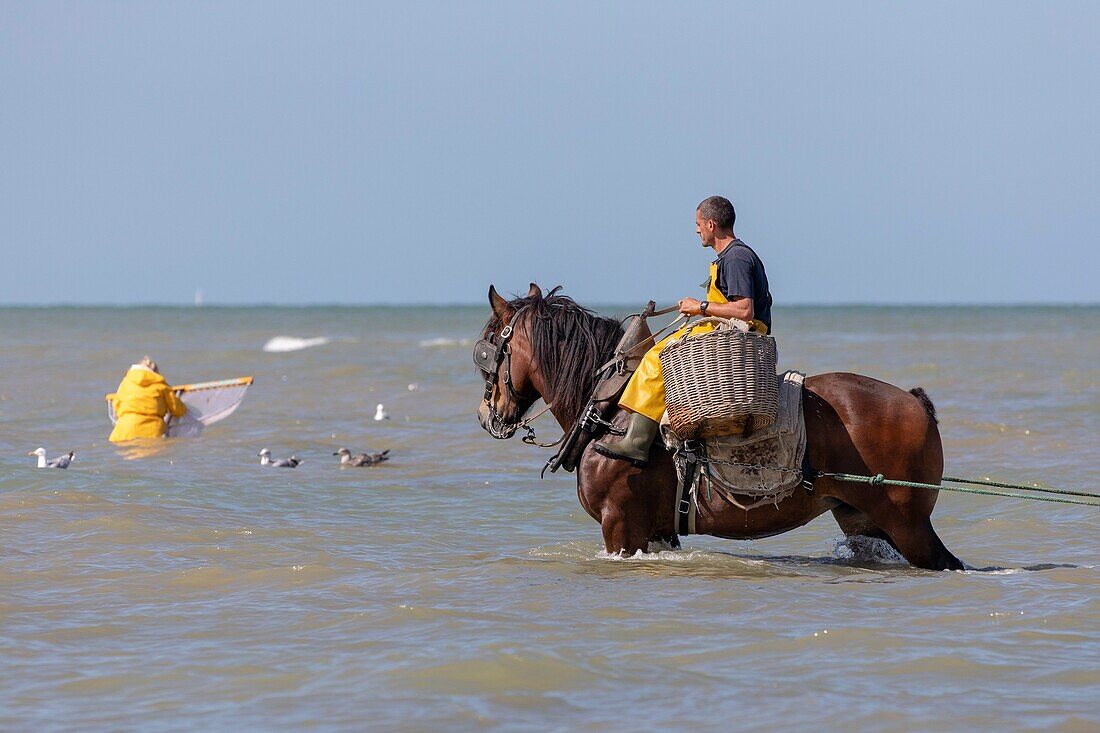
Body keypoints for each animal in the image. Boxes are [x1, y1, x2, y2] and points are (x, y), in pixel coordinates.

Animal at [473, 281, 963, 567]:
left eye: (488, 349)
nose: (485, 415)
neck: (608, 409)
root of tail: (914, 402)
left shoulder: (620, 528)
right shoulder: (655, 532)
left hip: (909, 524)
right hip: (862, 522)